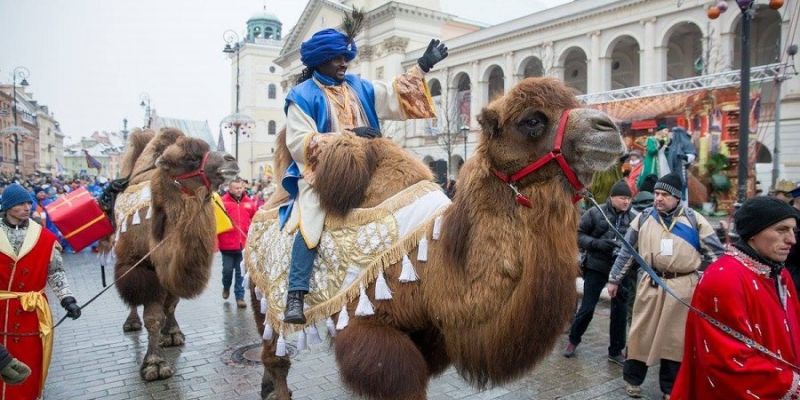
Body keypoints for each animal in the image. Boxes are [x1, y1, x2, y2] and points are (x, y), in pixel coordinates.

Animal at [114, 129, 238, 382]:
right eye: (190, 159)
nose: (231, 160)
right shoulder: (143, 268)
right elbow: (152, 317)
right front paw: (154, 364)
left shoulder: (172, 268)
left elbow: (170, 305)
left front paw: (171, 334)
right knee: (133, 299)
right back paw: (132, 323)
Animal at [248, 76, 624, 398]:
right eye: (532, 120)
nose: (609, 128)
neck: (434, 268)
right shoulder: (370, 326)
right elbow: (400, 381)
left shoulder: (428, 332)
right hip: (263, 296)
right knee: (274, 354)